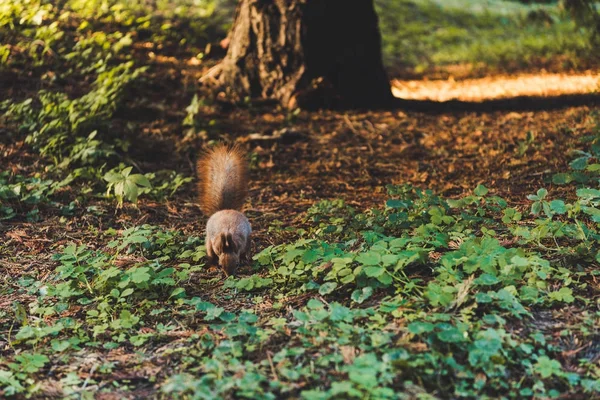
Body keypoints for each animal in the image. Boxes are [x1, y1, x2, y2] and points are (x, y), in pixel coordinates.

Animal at [198, 143, 252, 276]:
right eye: (221, 265)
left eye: (236, 264)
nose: (229, 275)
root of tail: (224, 209)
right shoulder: (215, 244)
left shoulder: (242, 241)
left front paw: (243, 261)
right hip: (208, 242)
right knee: (210, 254)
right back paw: (211, 267)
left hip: (248, 238)